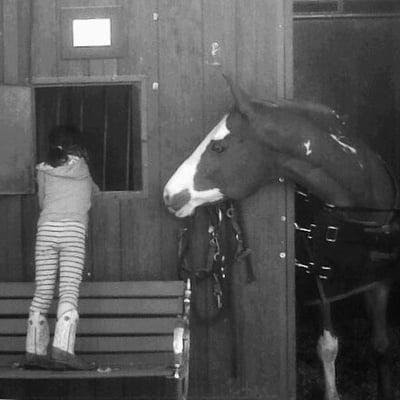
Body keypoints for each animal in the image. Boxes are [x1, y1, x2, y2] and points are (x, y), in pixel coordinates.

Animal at [162, 76, 400, 400]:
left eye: (219, 147)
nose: (169, 194)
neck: (359, 210)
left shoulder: (379, 282)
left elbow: (381, 345)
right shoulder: (319, 287)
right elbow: (329, 348)